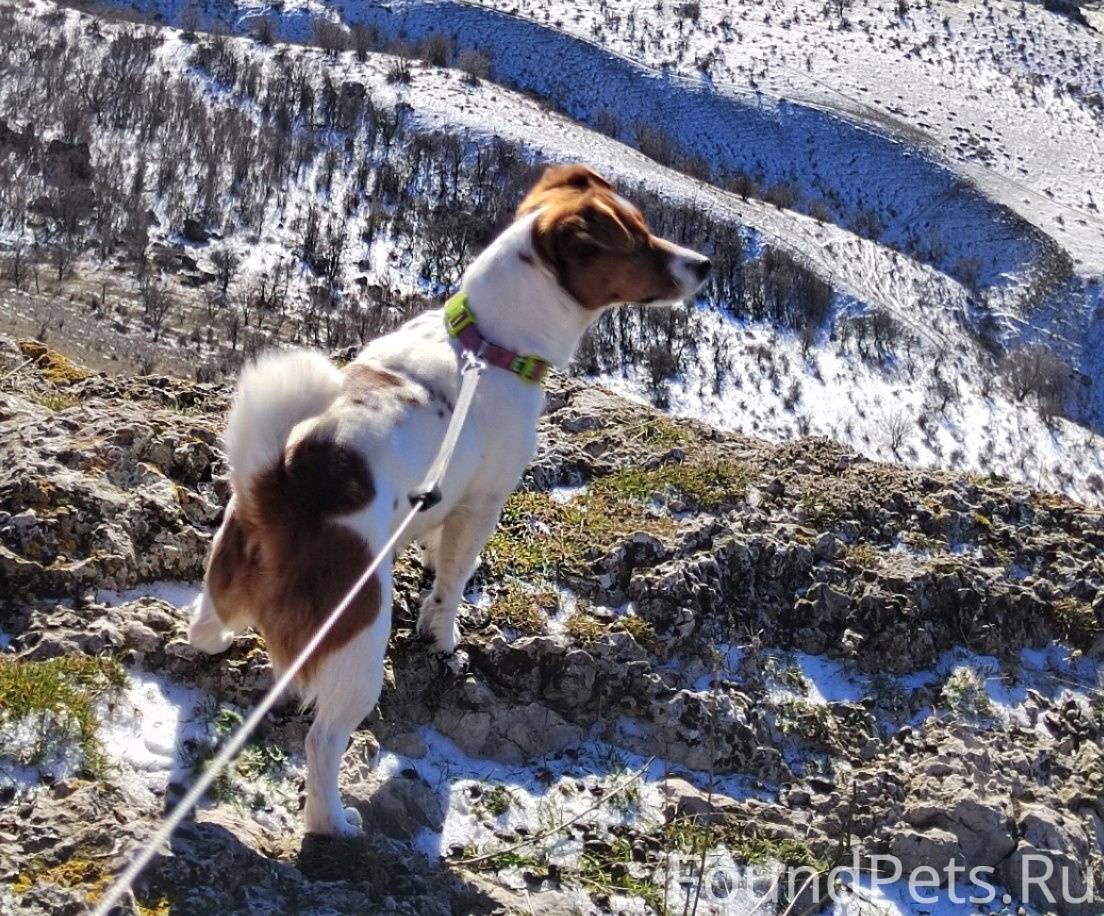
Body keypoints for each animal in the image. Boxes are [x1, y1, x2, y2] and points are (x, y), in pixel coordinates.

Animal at [185, 161, 710, 834]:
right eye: (638, 243)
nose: (706, 265)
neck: (486, 342)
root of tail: (283, 486)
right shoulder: (484, 499)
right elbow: (455, 578)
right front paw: (443, 632)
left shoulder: (448, 498)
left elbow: (436, 548)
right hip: (358, 646)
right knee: (322, 741)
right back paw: (334, 822)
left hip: (227, 576)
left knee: (206, 626)